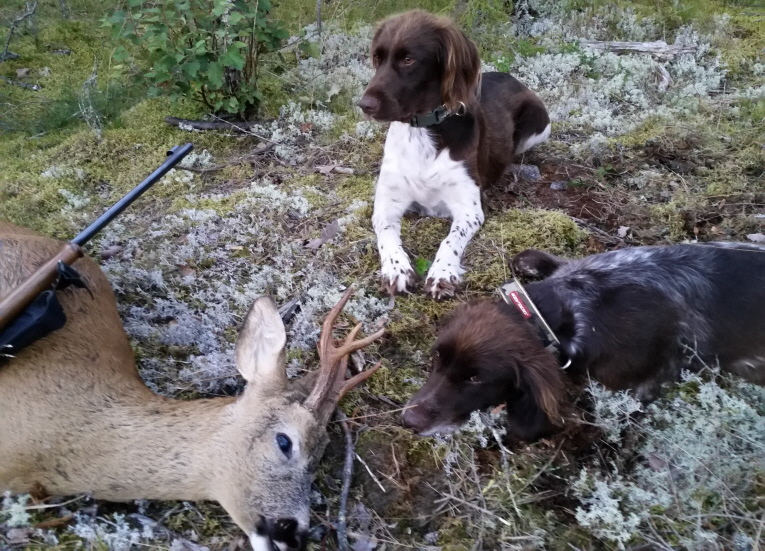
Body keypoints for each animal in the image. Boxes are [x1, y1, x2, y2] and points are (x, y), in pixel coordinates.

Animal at [358, 9, 548, 302]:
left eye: (408, 59)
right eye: (378, 57)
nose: (364, 105)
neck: (422, 131)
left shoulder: (470, 208)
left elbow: (451, 239)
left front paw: (443, 272)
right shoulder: (386, 204)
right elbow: (386, 235)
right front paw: (396, 269)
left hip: (538, 122)